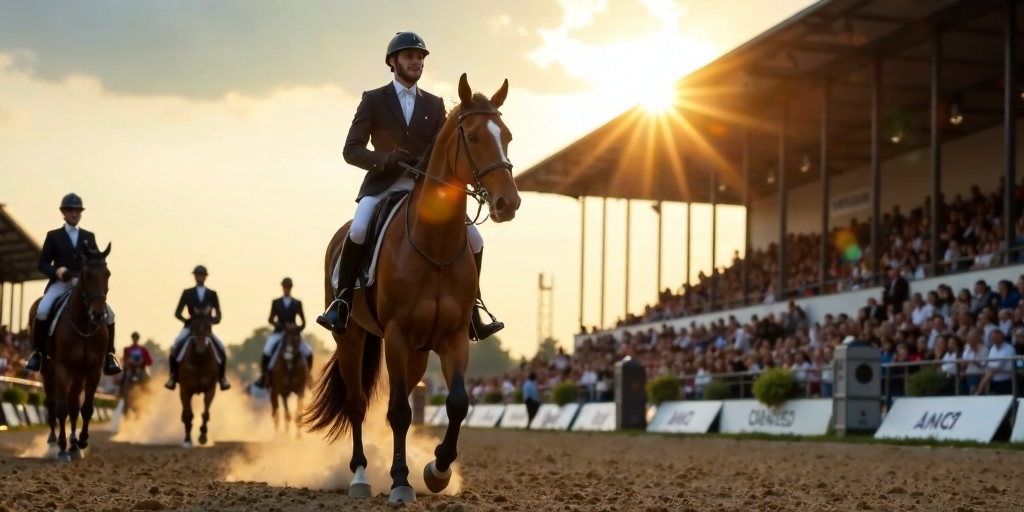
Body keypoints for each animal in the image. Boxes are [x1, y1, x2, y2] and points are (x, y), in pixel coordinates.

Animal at [28, 241, 112, 462]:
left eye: (107, 274)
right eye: (87, 274)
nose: (98, 314)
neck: (84, 327)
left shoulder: (92, 369)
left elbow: (86, 408)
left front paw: (81, 442)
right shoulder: (62, 367)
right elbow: (61, 408)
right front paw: (62, 449)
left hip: (78, 373)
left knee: (74, 404)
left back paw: (74, 446)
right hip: (48, 369)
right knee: (51, 403)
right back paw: (53, 443)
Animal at [175, 305, 219, 446]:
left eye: (209, 326)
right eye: (193, 326)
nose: (201, 347)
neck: (199, 361)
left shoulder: (210, 388)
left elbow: (205, 413)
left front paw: (203, 436)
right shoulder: (185, 389)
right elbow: (188, 415)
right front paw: (187, 440)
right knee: (186, 413)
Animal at [299, 74, 516, 501]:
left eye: (508, 136)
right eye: (474, 136)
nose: (508, 203)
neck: (435, 245)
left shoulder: (453, 337)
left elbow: (457, 403)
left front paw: (437, 470)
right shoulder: (396, 335)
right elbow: (399, 411)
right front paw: (401, 482)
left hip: (417, 351)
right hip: (351, 338)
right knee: (358, 404)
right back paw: (361, 477)